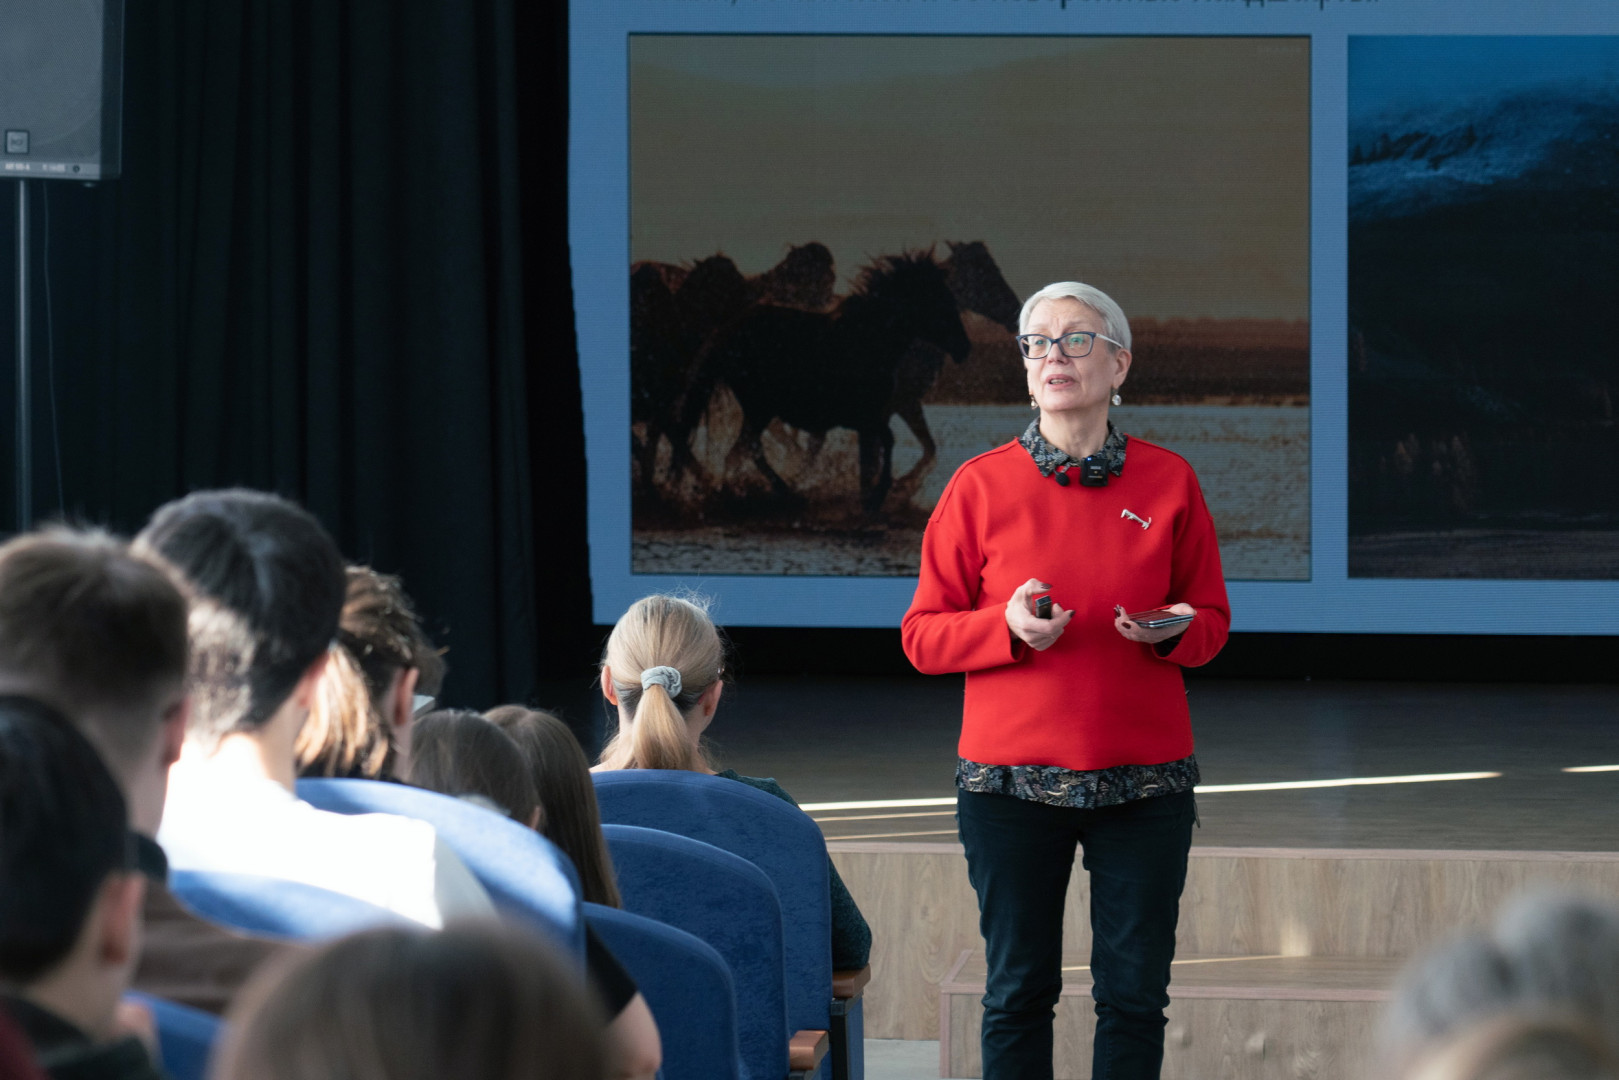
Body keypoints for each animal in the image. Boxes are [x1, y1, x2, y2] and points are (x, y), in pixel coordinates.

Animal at [673, 250, 964, 514]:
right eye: (939, 298)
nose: (964, 346)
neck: (870, 338)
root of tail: (727, 331)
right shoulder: (864, 416)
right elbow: (886, 444)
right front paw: (877, 497)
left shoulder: (870, 418)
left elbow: (871, 459)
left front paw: (869, 500)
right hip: (760, 407)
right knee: (745, 450)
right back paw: (775, 493)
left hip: (760, 409)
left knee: (742, 452)